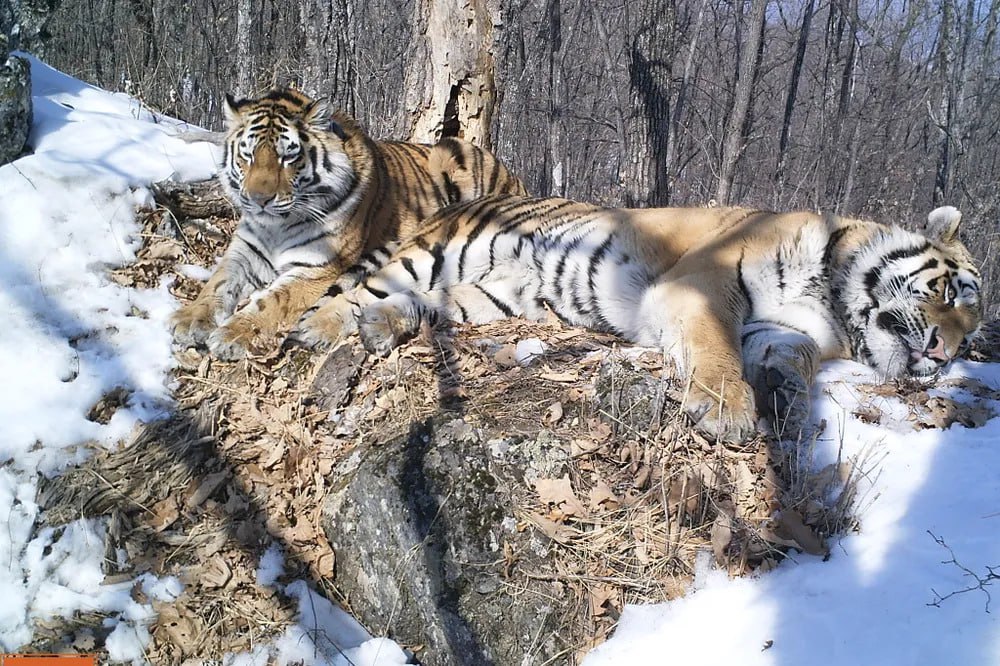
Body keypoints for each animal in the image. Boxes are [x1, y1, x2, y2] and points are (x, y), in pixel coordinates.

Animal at [170, 89, 532, 360]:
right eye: (248, 155)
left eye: (288, 156)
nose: (259, 199)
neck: (276, 225)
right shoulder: (244, 252)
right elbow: (216, 284)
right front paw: (188, 320)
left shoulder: (316, 268)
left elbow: (270, 303)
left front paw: (231, 334)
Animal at [292, 193, 984, 440]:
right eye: (953, 295)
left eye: (974, 333)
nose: (946, 354)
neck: (834, 299)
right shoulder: (702, 284)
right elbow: (715, 348)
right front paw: (728, 409)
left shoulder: (782, 329)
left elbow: (793, 359)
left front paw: (785, 399)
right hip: (438, 253)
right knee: (353, 291)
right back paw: (315, 330)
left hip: (492, 296)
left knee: (420, 306)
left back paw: (382, 326)